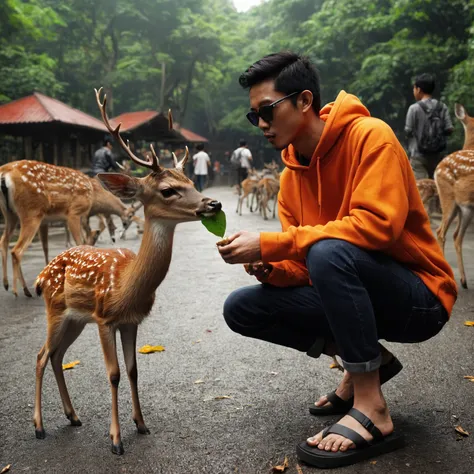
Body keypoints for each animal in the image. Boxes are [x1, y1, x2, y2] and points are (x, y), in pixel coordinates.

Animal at [0, 163, 92, 296]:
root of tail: (4, 172)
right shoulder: (74, 213)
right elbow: (80, 244)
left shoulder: (45, 222)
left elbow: (46, 247)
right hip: (31, 210)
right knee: (17, 250)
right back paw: (19, 291)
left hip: (10, 214)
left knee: (4, 241)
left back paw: (7, 284)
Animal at [33, 89, 222, 456]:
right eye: (168, 190)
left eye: (191, 182)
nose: (213, 204)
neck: (126, 285)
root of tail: (41, 275)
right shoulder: (105, 318)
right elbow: (114, 373)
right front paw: (116, 440)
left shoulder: (131, 321)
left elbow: (133, 370)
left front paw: (142, 424)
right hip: (56, 309)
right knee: (40, 356)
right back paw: (38, 427)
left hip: (75, 319)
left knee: (57, 356)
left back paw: (73, 416)